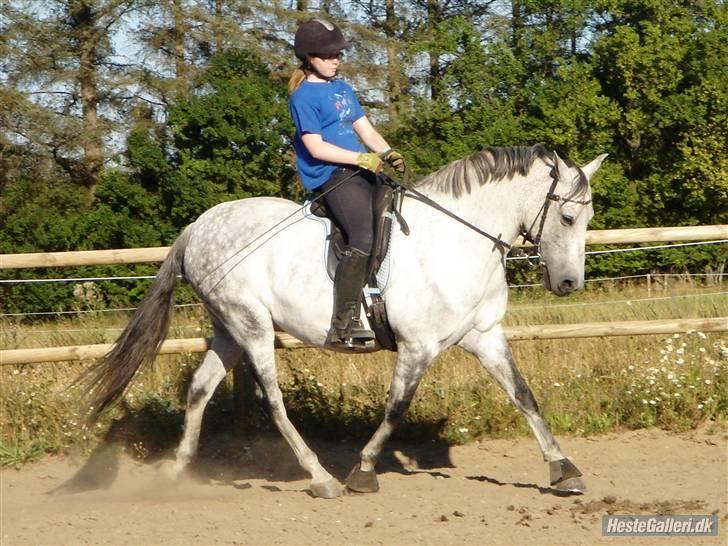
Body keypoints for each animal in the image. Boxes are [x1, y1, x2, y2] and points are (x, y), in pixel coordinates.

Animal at [75, 144, 608, 498]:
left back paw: (178, 470)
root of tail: (198, 226)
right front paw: (364, 471)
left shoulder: (485, 337)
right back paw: (322, 478)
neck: (457, 242)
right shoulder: (418, 347)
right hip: (251, 327)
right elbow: (396, 410)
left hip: (229, 328)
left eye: (587, 218)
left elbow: (524, 396)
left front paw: (564, 470)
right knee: (272, 402)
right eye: (566, 218)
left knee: (200, 389)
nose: (568, 284)